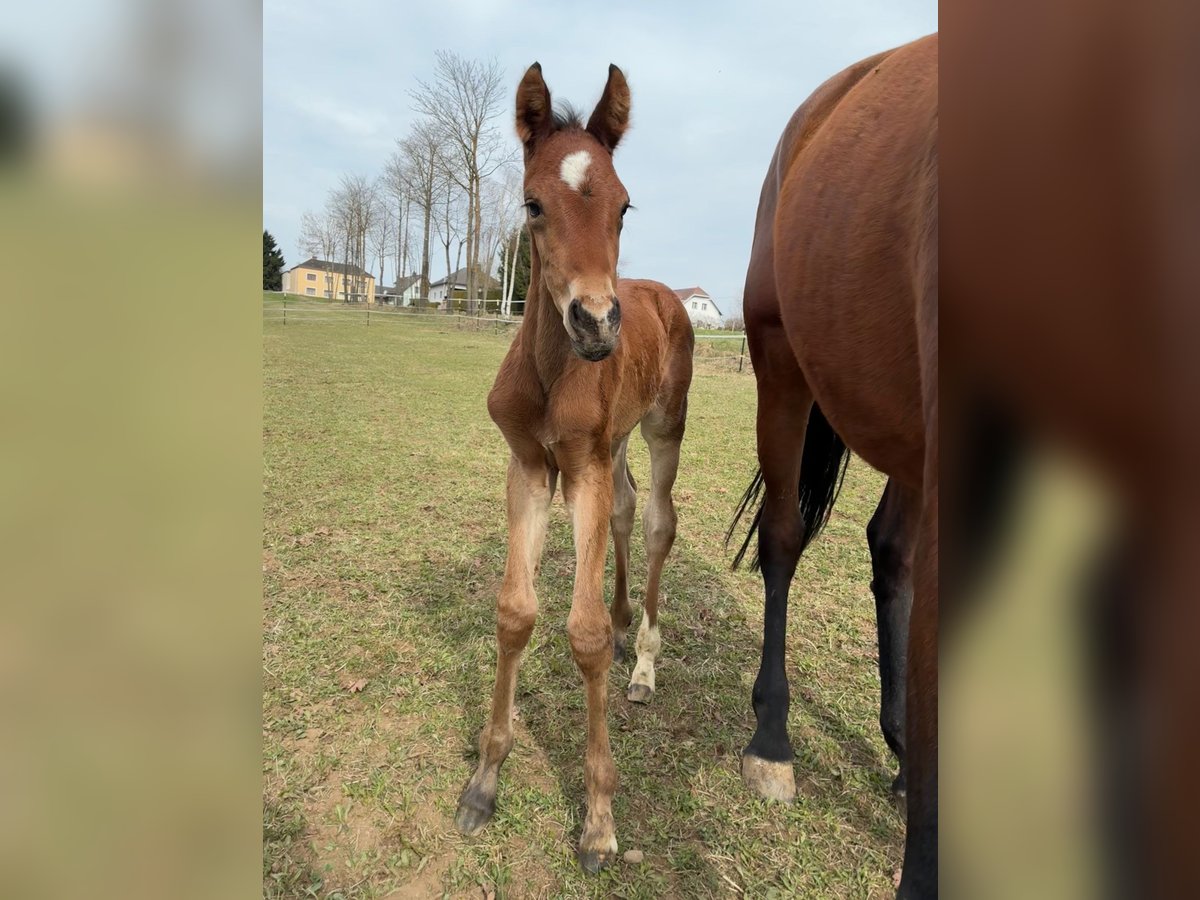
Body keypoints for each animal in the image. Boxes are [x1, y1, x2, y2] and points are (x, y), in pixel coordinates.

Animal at [454, 63, 694, 873]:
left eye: (624, 206)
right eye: (533, 204)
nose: (597, 324)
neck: (553, 371)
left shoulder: (579, 467)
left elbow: (581, 635)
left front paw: (597, 820)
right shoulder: (531, 466)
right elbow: (515, 612)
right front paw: (484, 781)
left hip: (662, 427)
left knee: (656, 519)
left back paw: (643, 662)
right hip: (612, 444)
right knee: (623, 508)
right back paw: (627, 630)